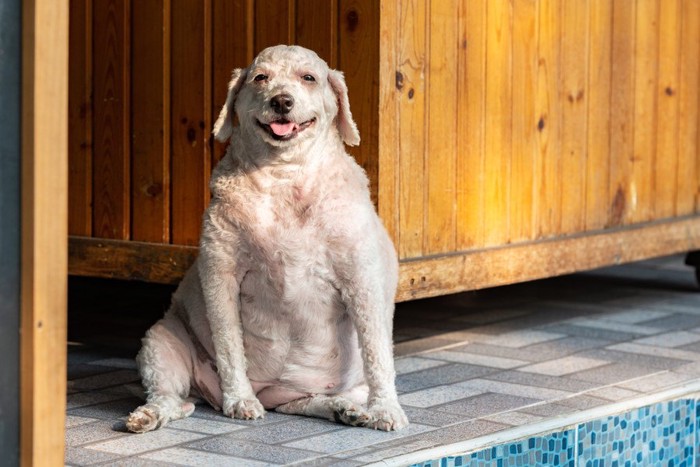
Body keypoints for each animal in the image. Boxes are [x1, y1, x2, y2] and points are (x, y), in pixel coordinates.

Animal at [129, 45, 408, 434]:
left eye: (309, 77)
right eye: (260, 77)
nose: (282, 101)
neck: (284, 175)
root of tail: (275, 393)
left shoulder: (362, 279)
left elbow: (377, 353)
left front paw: (385, 410)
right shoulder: (221, 274)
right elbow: (230, 346)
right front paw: (240, 400)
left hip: (327, 388)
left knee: (306, 402)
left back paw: (344, 408)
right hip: (162, 340)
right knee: (171, 398)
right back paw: (149, 415)